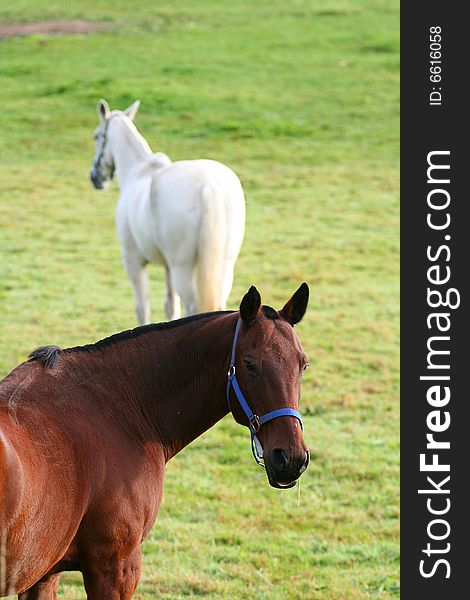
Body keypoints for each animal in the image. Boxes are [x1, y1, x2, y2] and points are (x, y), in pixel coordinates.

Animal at [0, 284, 312, 596]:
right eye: (249, 365)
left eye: (303, 365)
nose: (291, 458)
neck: (115, 405)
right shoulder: (115, 568)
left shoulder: (44, 576)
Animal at [87, 99, 246, 324]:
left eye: (96, 136)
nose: (95, 178)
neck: (139, 171)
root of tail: (208, 186)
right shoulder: (167, 266)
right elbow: (171, 307)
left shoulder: (133, 261)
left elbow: (142, 307)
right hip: (224, 265)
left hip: (183, 268)